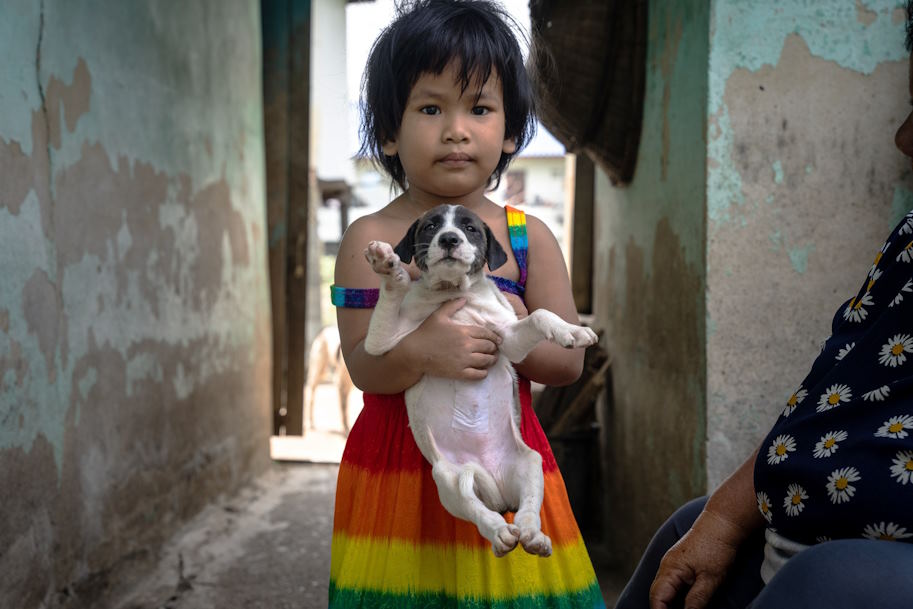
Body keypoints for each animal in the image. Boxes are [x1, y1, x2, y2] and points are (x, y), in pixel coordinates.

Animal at [364, 204, 600, 556]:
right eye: (431, 226)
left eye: (470, 228)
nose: (449, 239)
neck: (452, 292)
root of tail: (496, 488)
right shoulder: (382, 344)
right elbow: (390, 300)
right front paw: (387, 267)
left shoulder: (509, 340)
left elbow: (540, 314)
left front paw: (572, 331)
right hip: (448, 479)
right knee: (478, 511)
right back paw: (500, 533)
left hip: (530, 462)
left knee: (527, 510)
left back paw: (533, 536)